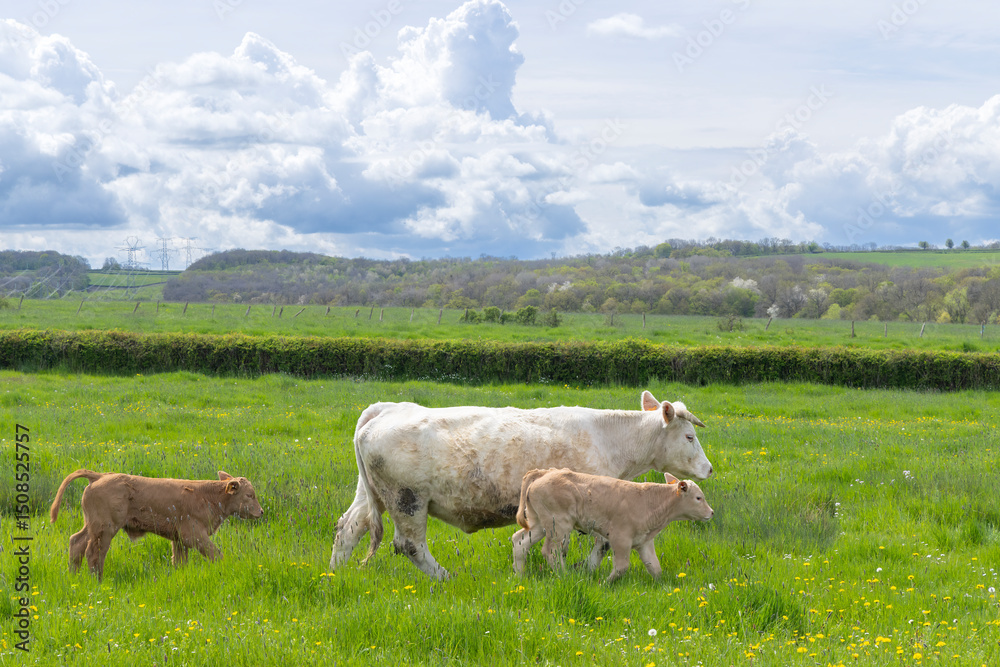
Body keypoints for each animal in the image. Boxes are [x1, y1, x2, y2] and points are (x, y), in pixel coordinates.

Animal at [49, 469, 263, 581]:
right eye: (249, 495)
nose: (260, 512)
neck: (207, 496)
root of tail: (100, 476)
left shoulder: (179, 540)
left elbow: (180, 561)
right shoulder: (194, 535)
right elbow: (216, 554)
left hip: (92, 527)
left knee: (76, 542)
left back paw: (73, 577)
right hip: (105, 529)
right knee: (94, 553)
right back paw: (97, 580)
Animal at [511, 468, 713, 582]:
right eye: (698, 498)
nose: (711, 512)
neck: (649, 501)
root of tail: (542, 473)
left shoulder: (644, 542)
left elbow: (655, 568)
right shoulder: (620, 538)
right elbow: (622, 566)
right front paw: (606, 583)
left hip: (539, 524)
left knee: (520, 542)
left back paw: (520, 575)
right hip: (558, 526)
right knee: (551, 552)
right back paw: (564, 575)